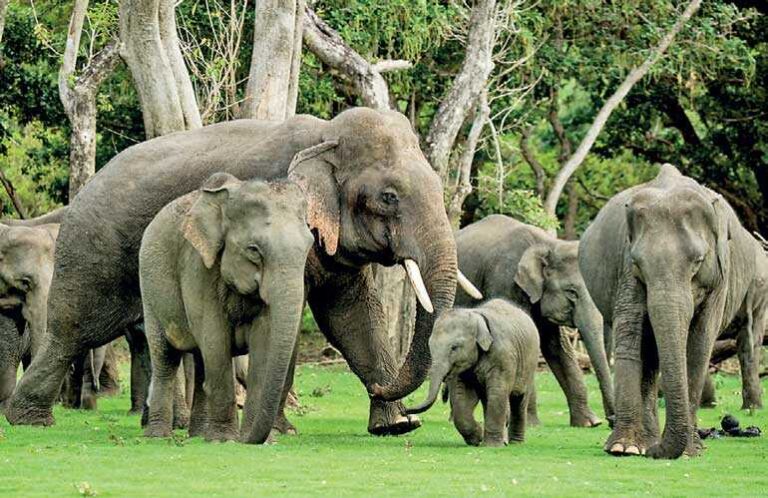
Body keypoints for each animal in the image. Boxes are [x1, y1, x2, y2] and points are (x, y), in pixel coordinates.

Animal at [141, 174, 313, 443]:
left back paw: (199, 435)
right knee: (166, 357)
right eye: (253, 250)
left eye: (310, 247)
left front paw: (260, 442)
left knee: (201, 361)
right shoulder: (198, 266)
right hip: (149, 289)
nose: (248, 438)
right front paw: (225, 440)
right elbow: (215, 338)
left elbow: (262, 342)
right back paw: (158, 436)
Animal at [406, 299, 539, 447]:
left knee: (519, 399)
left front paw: (492, 446)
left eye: (454, 347)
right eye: (430, 345)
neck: (476, 316)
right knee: (488, 400)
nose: (405, 410)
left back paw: (515, 442)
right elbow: (462, 398)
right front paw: (477, 439)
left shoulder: (503, 356)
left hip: (529, 362)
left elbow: (497, 393)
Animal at [454, 215, 613, 427]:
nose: (610, 420)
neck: (548, 245)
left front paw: (589, 423)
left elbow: (556, 347)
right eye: (571, 292)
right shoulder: (505, 281)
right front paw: (530, 424)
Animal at [579, 164, 763, 459]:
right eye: (638, 262)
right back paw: (644, 442)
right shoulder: (625, 267)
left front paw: (688, 451)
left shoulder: (719, 279)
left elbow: (700, 343)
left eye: (698, 261)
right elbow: (631, 332)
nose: (656, 452)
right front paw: (623, 448)